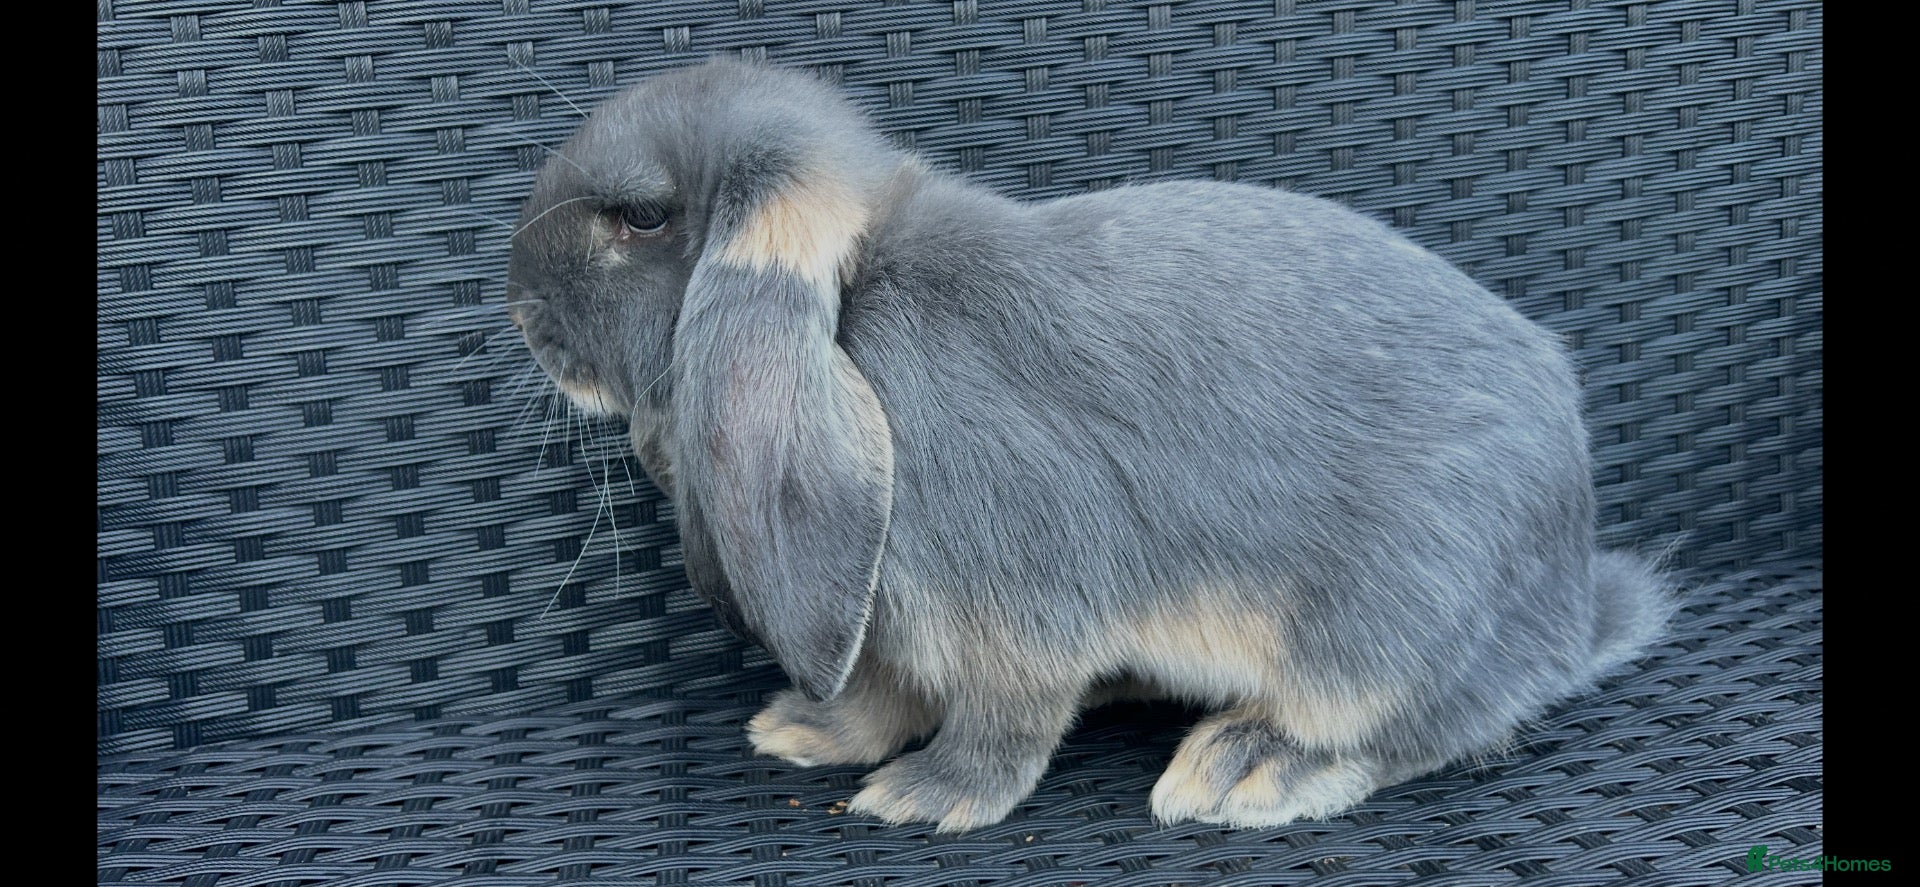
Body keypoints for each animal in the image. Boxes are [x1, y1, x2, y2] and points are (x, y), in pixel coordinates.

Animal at [503, 58, 1674, 832]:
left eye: (641, 217)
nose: (519, 310)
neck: (857, 317)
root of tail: (1573, 605)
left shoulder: (1011, 611)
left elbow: (1006, 721)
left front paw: (923, 797)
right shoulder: (884, 626)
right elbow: (877, 691)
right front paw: (805, 731)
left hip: (1389, 626)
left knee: (1426, 727)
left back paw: (1244, 769)